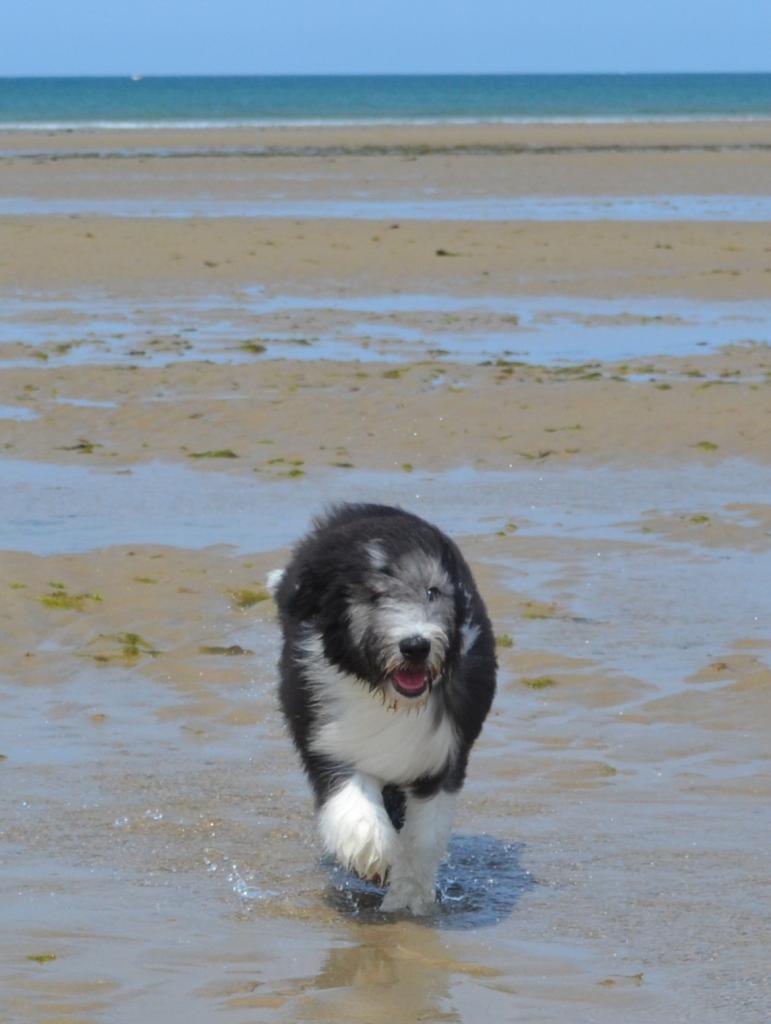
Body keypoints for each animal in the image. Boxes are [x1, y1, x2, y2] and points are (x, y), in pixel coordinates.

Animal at [268, 503, 495, 913]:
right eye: (373, 597)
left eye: (432, 591)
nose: (416, 645)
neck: (385, 697)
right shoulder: (324, 737)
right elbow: (352, 793)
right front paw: (371, 849)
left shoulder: (442, 754)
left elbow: (424, 836)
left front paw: (409, 894)